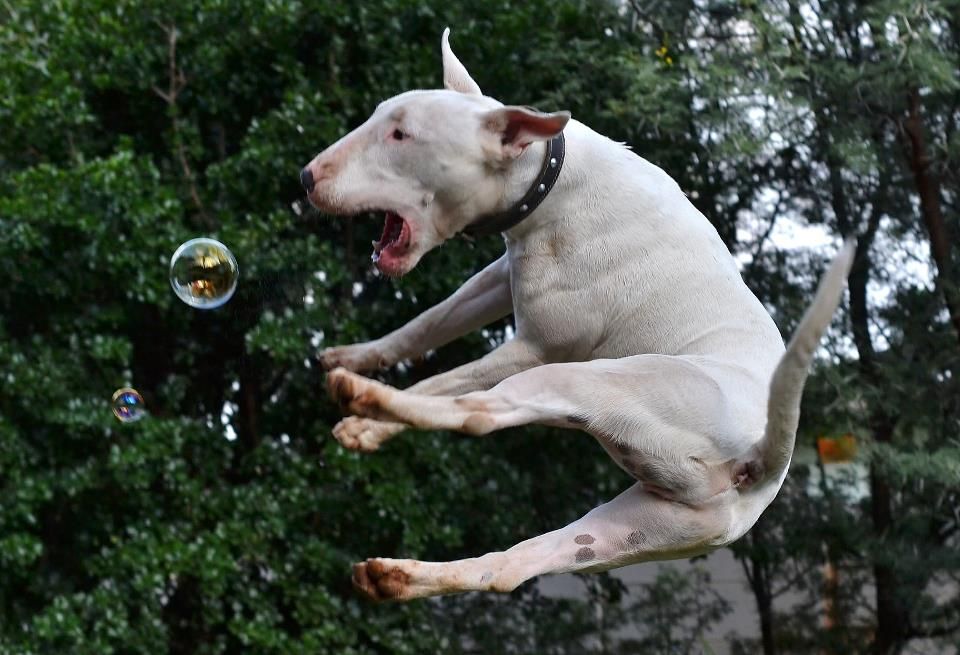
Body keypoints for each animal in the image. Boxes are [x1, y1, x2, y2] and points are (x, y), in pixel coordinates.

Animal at [300, 30, 856, 604]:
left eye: (401, 134)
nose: (306, 178)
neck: (552, 180)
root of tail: (761, 459)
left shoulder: (537, 347)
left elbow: (442, 382)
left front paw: (365, 425)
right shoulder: (498, 278)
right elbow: (428, 323)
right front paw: (351, 356)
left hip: (585, 381)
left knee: (480, 412)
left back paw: (364, 399)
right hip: (632, 528)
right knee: (507, 569)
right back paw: (394, 577)